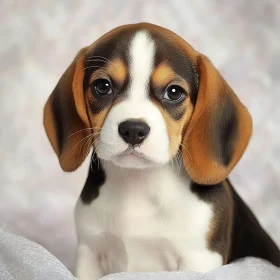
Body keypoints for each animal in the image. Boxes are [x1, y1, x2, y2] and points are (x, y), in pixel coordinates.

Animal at [43, 23, 280, 278]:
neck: (139, 183)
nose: (133, 129)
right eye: (102, 87)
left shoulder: (198, 259)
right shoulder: (89, 253)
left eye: (174, 92)